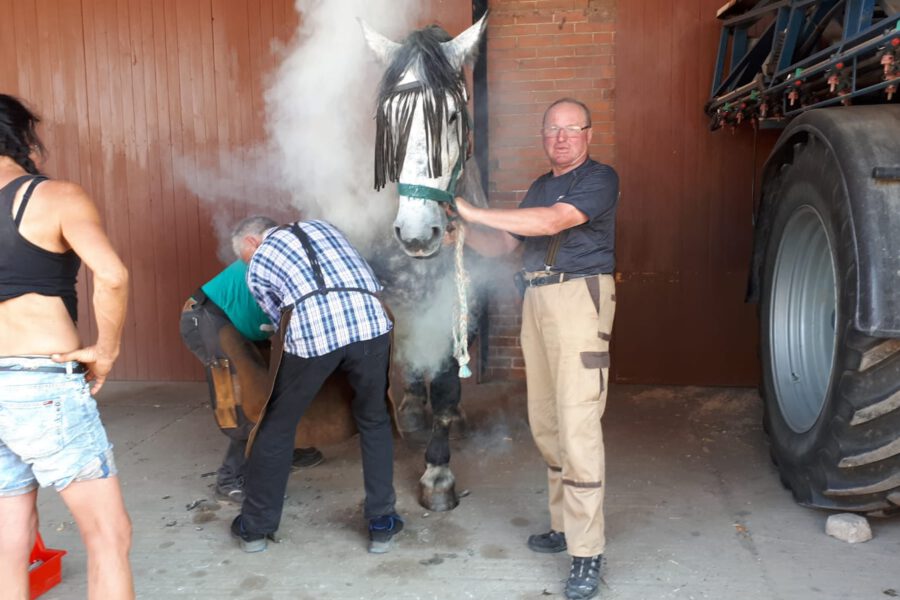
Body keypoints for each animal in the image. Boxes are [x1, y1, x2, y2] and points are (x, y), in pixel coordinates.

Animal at [360, 15, 492, 510]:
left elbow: (450, 381)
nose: (417, 235)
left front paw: (438, 475)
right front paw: (415, 410)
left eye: (451, 116)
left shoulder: (463, 302)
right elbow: (407, 354)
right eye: (387, 122)